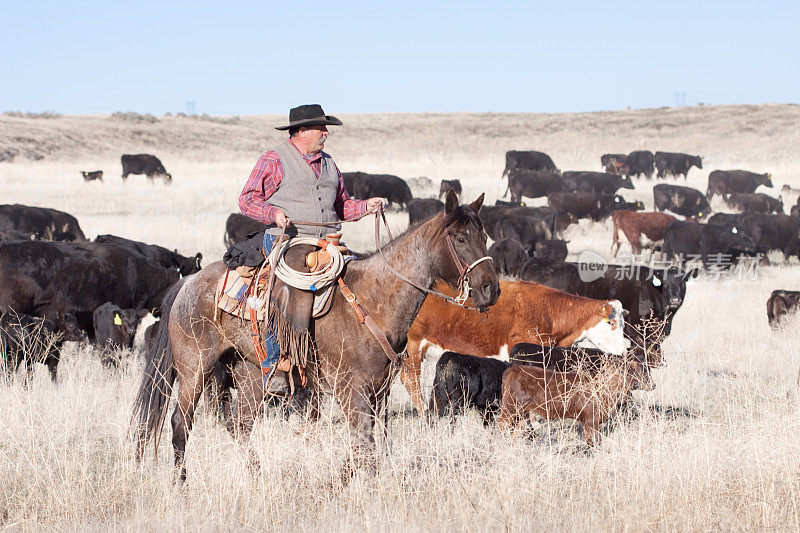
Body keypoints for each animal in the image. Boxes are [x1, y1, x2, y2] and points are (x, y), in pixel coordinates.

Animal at [130, 191, 500, 482]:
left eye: (484, 237)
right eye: (461, 239)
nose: (490, 290)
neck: (375, 298)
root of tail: (187, 283)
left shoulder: (377, 391)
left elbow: (365, 448)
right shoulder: (352, 389)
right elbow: (364, 447)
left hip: (250, 373)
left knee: (240, 424)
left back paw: (257, 477)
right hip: (194, 367)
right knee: (180, 423)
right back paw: (181, 483)